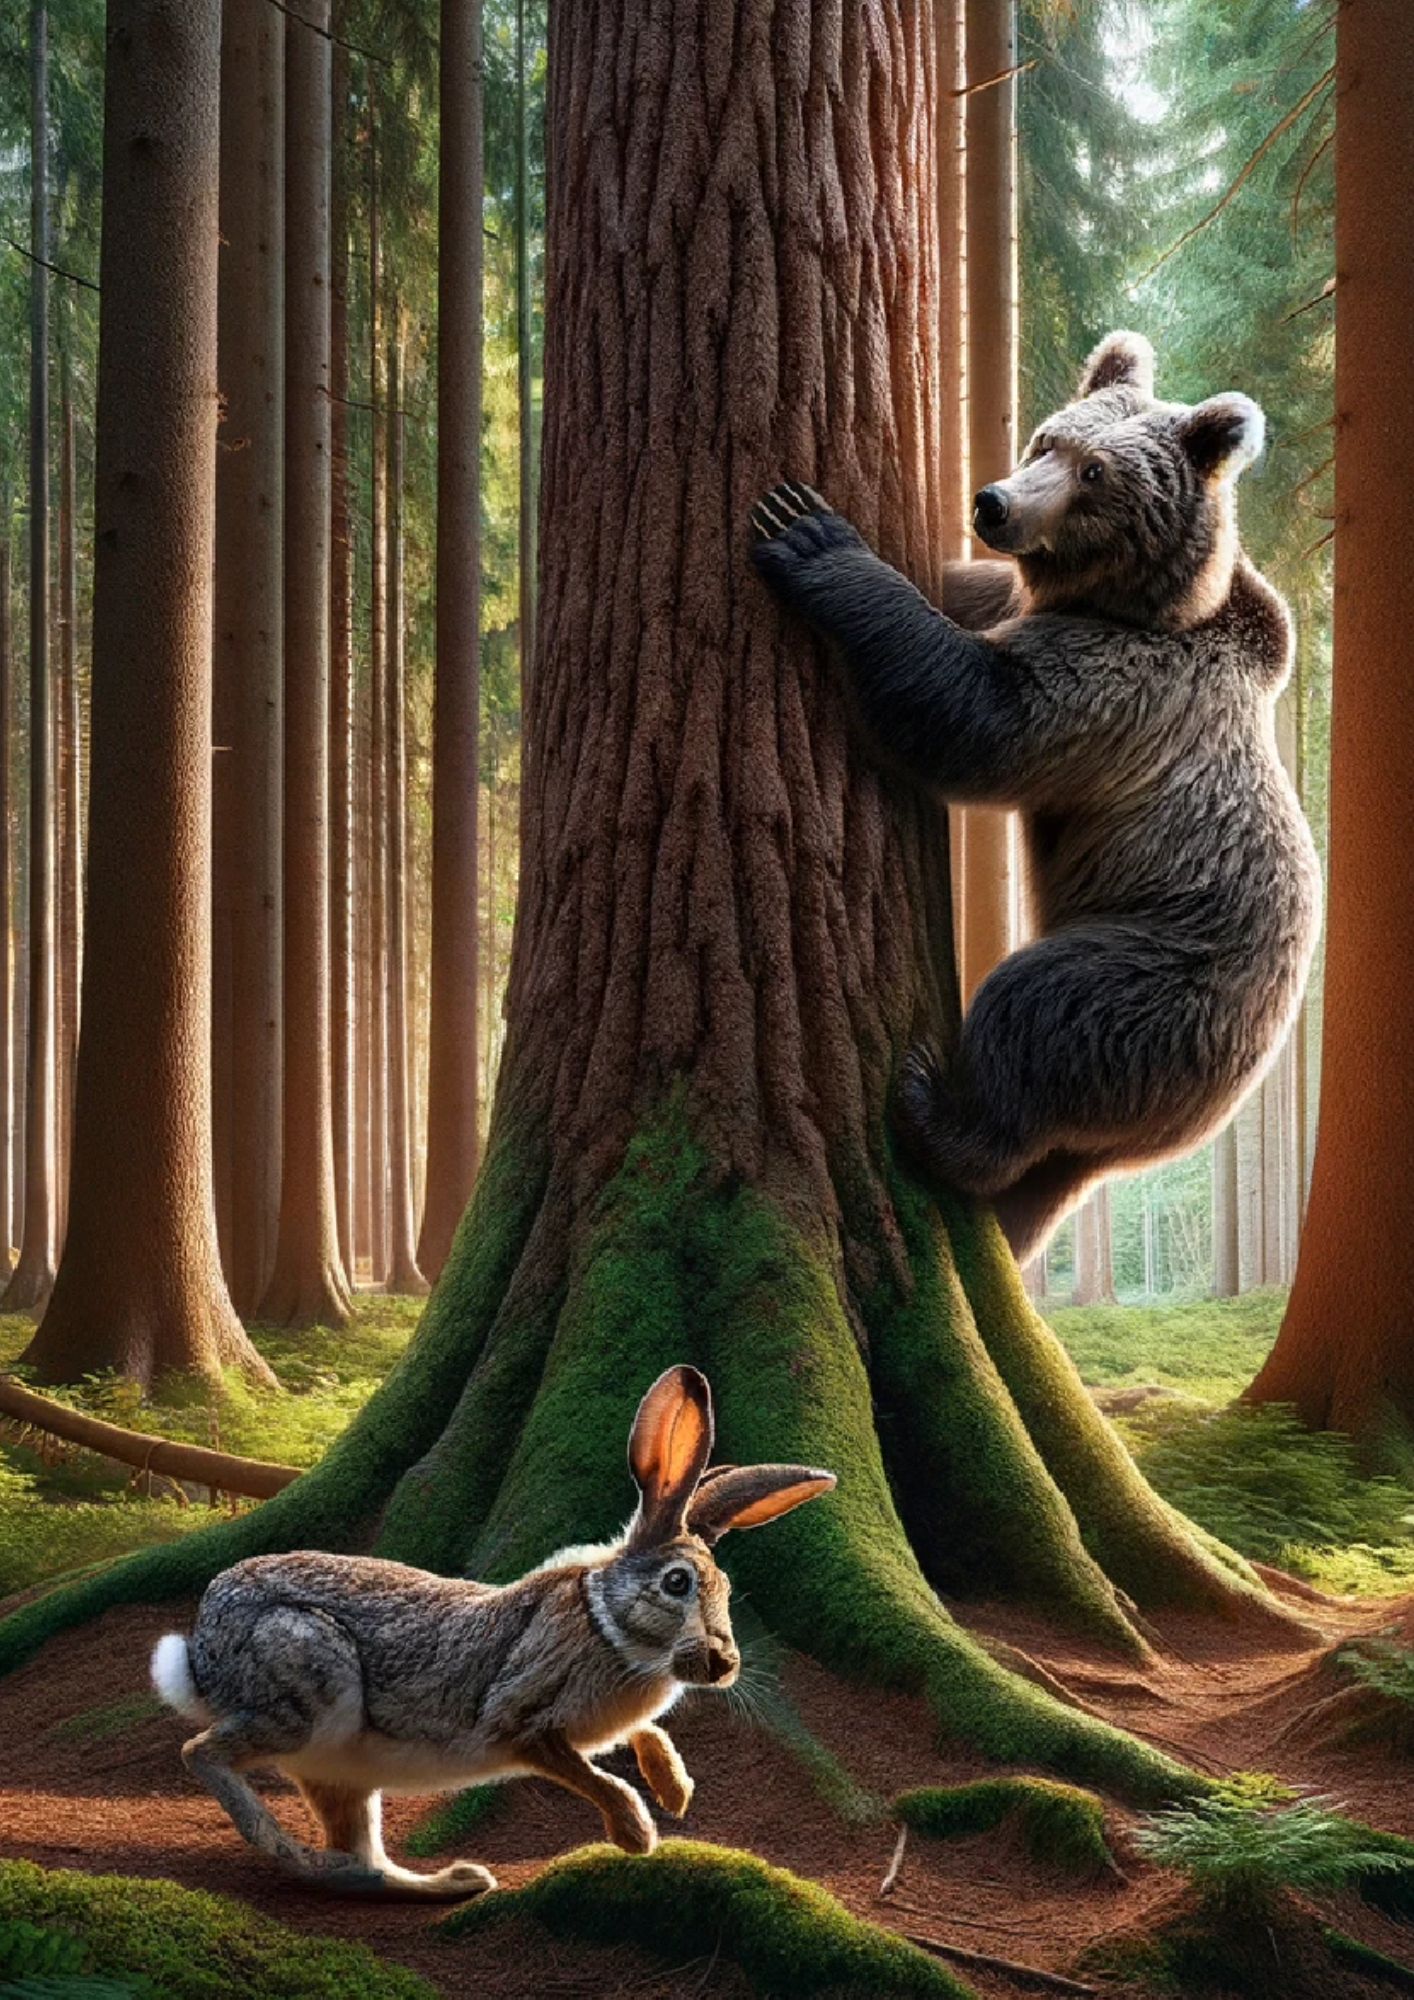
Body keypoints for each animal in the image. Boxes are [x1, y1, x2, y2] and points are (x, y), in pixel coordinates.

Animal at [150, 1364, 834, 1899]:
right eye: (677, 1583)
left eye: (725, 1587)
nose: (723, 1664)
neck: (605, 1622)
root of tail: (202, 1650)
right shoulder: (523, 1720)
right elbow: (588, 1774)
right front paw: (638, 1832)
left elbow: (649, 1733)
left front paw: (677, 1792)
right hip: (304, 1689)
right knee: (201, 1752)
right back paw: (286, 1848)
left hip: (336, 1763)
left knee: (366, 1861)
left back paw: (448, 1881)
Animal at [748, 330, 1321, 1264]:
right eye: (1048, 439)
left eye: (1095, 472)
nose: (993, 504)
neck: (1149, 602)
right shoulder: (1027, 600)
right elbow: (962, 594)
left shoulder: (1121, 686)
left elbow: (978, 711)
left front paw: (809, 535)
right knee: (1040, 1180)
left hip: (1159, 978)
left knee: (1036, 1017)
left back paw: (930, 1105)